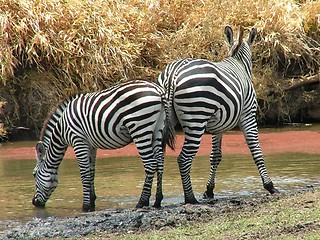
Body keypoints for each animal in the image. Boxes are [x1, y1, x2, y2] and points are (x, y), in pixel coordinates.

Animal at [31, 80, 175, 212]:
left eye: (34, 174)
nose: (34, 203)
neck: (62, 128)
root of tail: (158, 90)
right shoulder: (91, 145)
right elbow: (91, 171)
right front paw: (92, 202)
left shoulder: (78, 140)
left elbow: (84, 173)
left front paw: (85, 206)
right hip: (157, 130)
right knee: (160, 162)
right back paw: (157, 201)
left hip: (140, 128)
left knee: (150, 164)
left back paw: (141, 202)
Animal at [157, 25, 278, 204]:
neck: (239, 63)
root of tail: (173, 73)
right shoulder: (248, 115)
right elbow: (256, 150)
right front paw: (269, 185)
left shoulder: (218, 125)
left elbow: (215, 156)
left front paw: (209, 190)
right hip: (196, 118)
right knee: (183, 158)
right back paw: (190, 198)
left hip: (163, 121)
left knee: (158, 157)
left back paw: (157, 200)